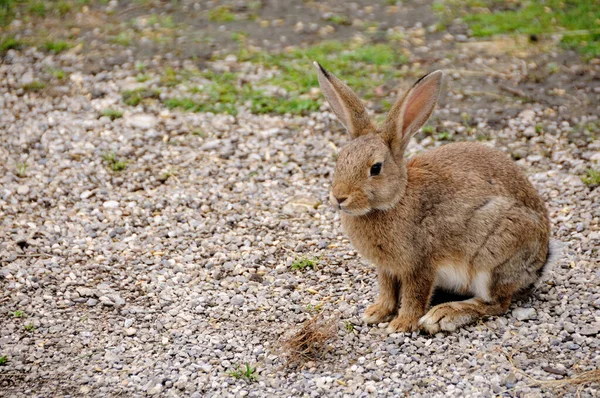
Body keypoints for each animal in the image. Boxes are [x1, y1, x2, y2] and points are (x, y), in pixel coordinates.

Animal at [314, 61, 556, 332]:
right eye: (340, 160)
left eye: (375, 168)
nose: (339, 197)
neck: (396, 199)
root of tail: (539, 264)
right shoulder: (387, 268)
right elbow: (387, 290)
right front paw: (376, 312)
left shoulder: (421, 263)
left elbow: (415, 295)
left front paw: (402, 324)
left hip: (493, 258)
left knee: (497, 303)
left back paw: (443, 315)